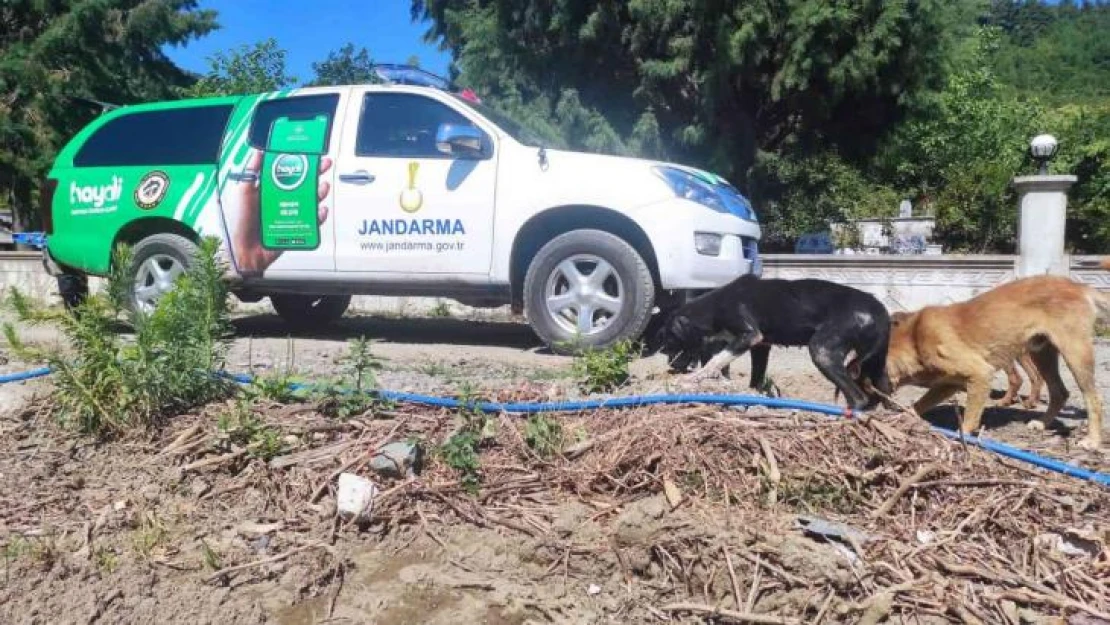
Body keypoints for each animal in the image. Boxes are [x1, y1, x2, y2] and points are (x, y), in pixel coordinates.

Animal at [643, 274, 892, 410]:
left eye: (671, 341)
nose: (672, 366)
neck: (712, 307)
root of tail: (879, 309)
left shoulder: (749, 335)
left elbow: (715, 360)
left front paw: (693, 378)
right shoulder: (762, 346)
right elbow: (756, 378)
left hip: (822, 350)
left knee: (858, 399)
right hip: (876, 366)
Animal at [883, 264, 1110, 450]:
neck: (914, 338)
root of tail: (1079, 286)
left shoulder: (980, 374)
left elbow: (969, 419)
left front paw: (961, 438)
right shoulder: (947, 384)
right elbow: (919, 404)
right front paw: (902, 417)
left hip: (1075, 353)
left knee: (1093, 399)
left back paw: (1092, 441)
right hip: (1042, 354)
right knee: (1060, 392)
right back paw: (1042, 423)